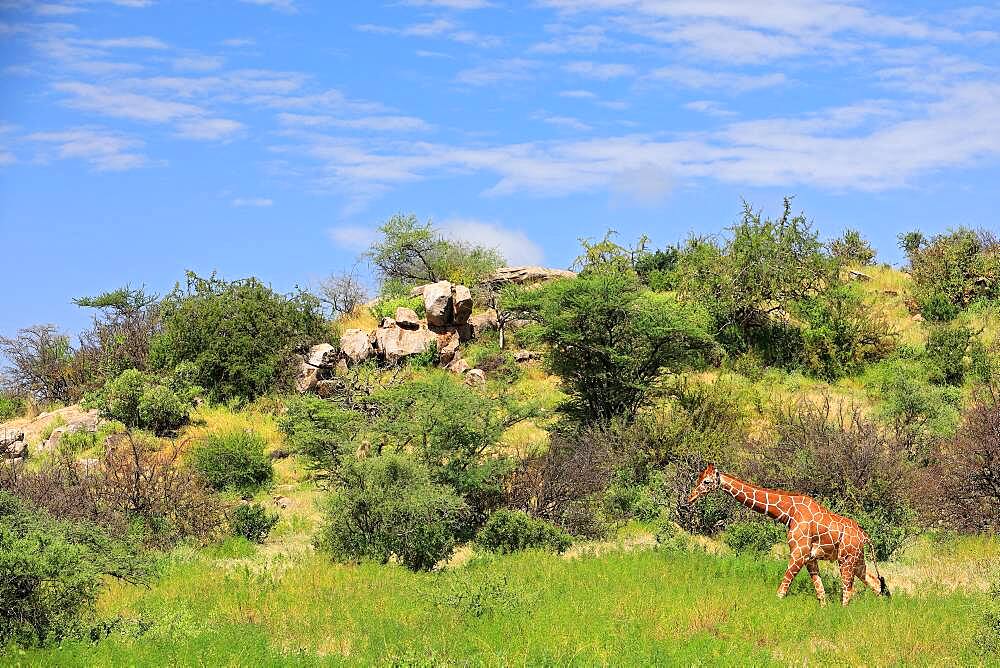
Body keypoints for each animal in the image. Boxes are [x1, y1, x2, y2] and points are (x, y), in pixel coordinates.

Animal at [688, 464, 892, 604]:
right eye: (699, 478)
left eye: (706, 481)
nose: (690, 498)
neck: (789, 513)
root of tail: (865, 536)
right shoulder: (810, 558)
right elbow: (821, 593)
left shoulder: (798, 552)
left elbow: (781, 590)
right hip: (857, 559)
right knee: (875, 583)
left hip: (846, 560)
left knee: (848, 591)